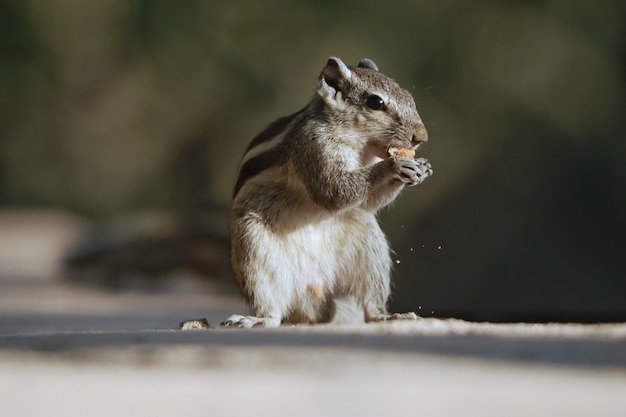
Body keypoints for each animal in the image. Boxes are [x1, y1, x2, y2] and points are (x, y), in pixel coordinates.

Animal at [219, 57, 428, 326]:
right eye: (375, 102)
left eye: (409, 97)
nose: (421, 137)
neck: (359, 145)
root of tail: (312, 286)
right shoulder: (312, 147)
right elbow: (332, 191)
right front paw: (394, 165)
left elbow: (367, 202)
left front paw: (421, 168)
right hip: (253, 253)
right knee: (272, 308)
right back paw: (258, 319)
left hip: (371, 251)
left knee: (370, 303)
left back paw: (388, 315)